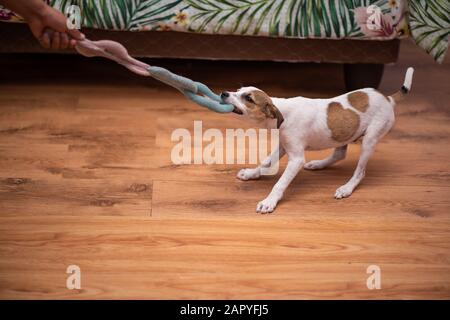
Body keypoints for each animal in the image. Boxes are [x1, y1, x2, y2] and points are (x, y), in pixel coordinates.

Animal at [221, 67, 414, 212]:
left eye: (248, 98)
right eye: (237, 91)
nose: (223, 93)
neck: (283, 112)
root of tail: (387, 98)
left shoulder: (296, 159)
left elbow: (280, 183)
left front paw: (269, 201)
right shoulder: (283, 146)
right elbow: (266, 162)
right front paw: (251, 174)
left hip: (369, 140)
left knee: (360, 172)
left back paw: (346, 188)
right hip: (344, 134)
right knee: (340, 154)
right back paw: (318, 164)